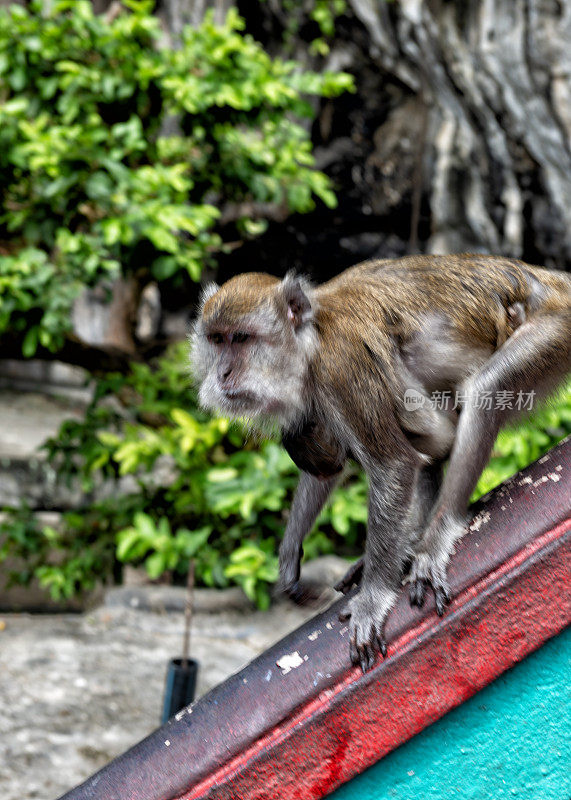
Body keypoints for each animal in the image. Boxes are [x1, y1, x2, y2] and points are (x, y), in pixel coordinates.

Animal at [192, 256, 571, 668]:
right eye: (217, 340)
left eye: (242, 338)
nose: (222, 373)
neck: (312, 337)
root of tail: (550, 278)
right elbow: (329, 469)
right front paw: (290, 555)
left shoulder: (339, 367)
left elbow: (393, 465)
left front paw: (373, 598)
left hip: (557, 323)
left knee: (486, 388)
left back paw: (437, 535)